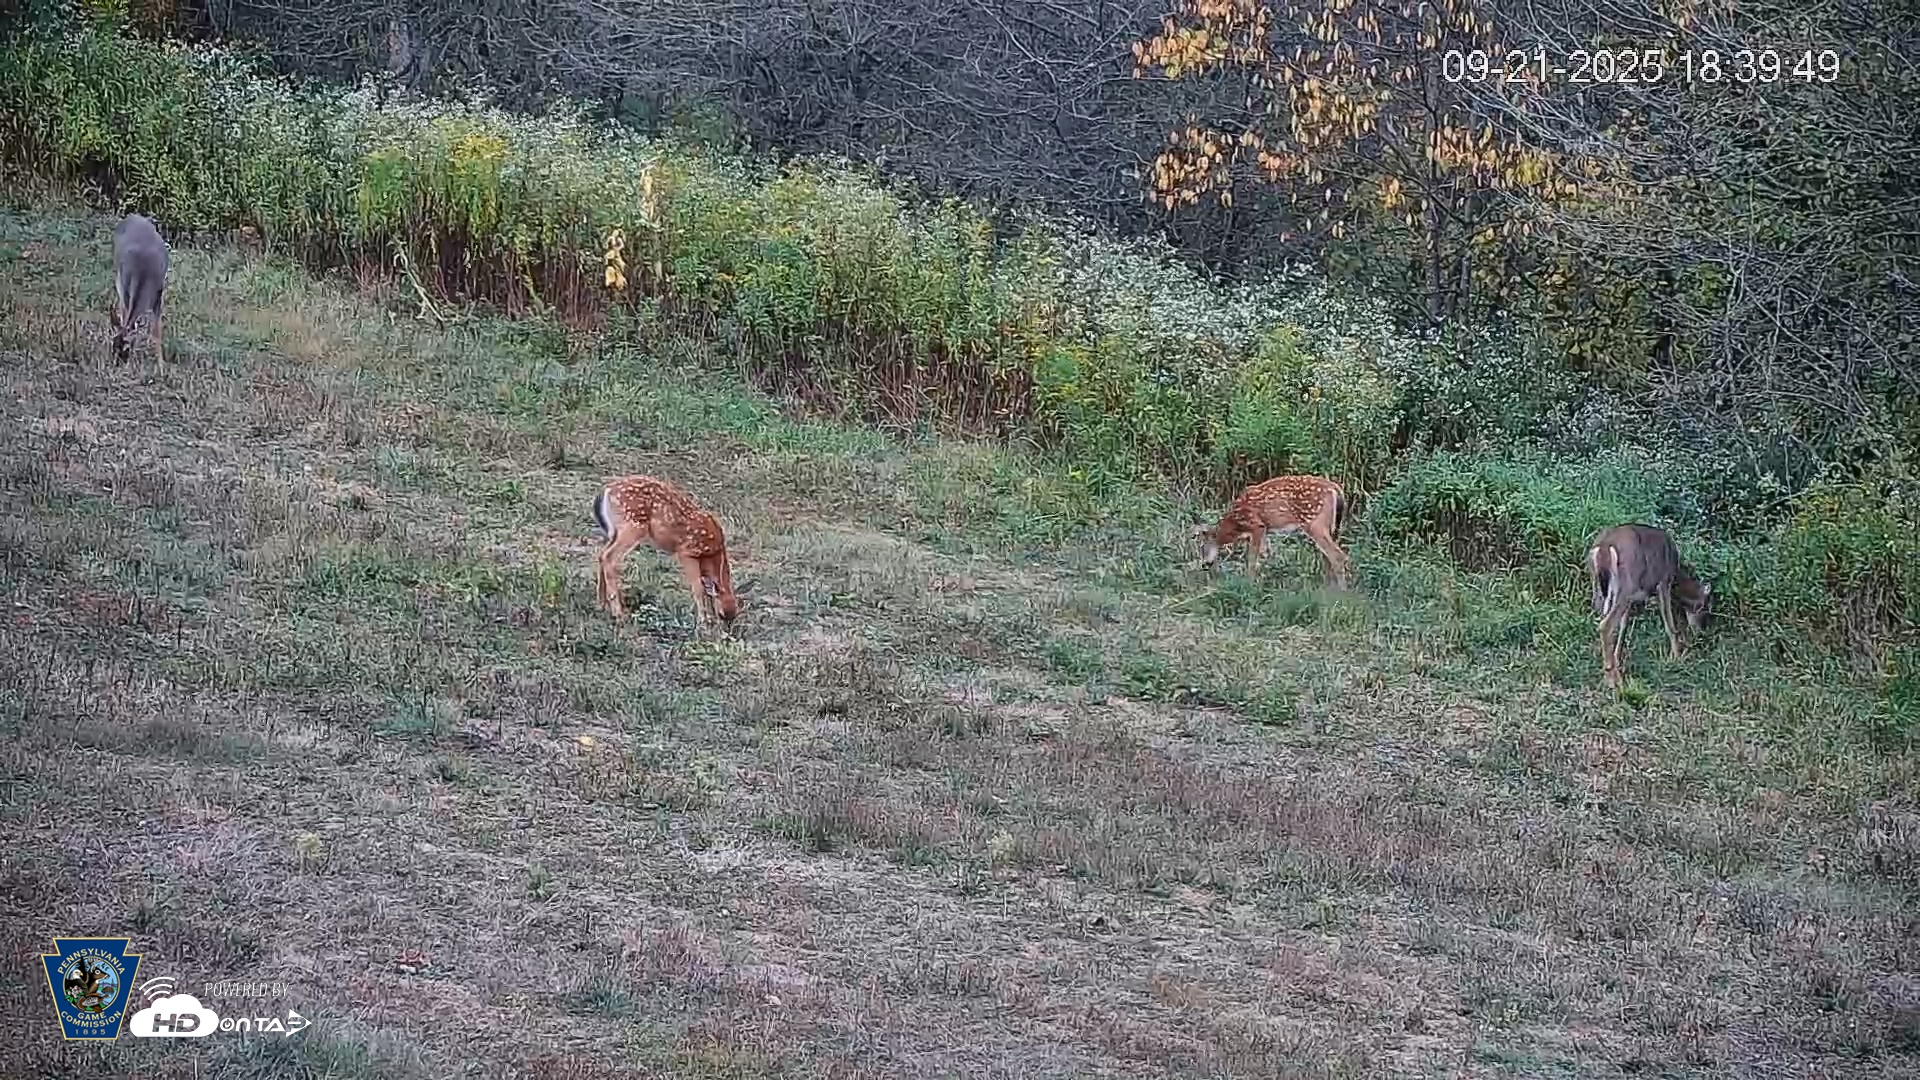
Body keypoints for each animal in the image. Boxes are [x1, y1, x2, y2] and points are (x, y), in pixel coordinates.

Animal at [110, 213, 170, 365]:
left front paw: (161, 364)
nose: (117, 364)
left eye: (126, 348)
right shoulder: (125, 289)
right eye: (113, 346)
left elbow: (156, 331)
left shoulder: (158, 295)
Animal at [592, 475, 743, 631]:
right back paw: (618, 615)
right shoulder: (686, 551)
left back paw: (601, 605)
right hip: (632, 526)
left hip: (614, 532)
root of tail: (606, 491)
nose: (726, 631)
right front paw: (703, 622)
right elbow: (698, 588)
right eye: (722, 614)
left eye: (735, 615)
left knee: (601, 555)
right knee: (609, 557)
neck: (712, 552)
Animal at [1194, 473, 1352, 588]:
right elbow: (1265, 555)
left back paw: (1342, 591)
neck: (1236, 524)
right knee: (1328, 555)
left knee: (1337, 555)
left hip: (1314, 522)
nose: (1204, 564)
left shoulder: (1257, 526)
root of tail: (1336, 490)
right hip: (1332, 526)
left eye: (1202, 547)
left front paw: (1249, 583)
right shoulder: (1265, 530)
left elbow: (1252, 559)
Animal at [1587, 524, 1712, 689]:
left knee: (1603, 618)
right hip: (1625, 585)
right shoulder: (1664, 582)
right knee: (1605, 625)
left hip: (1601, 589)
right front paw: (1676, 658)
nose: (1701, 630)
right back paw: (1613, 681)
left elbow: (1623, 627)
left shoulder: (1632, 597)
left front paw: (1617, 660)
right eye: (1704, 606)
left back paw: (1608, 673)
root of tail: (1603, 547)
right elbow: (1669, 623)